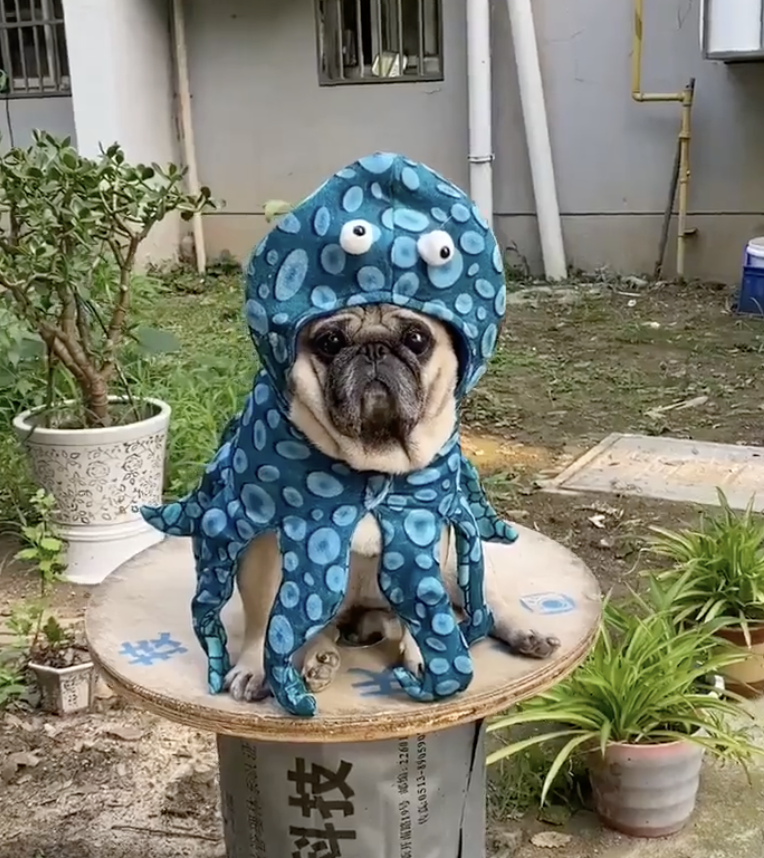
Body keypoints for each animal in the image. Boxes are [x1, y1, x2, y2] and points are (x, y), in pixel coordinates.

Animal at [224, 304, 560, 700]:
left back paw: (526, 633)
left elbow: (425, 606)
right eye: (330, 341)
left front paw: (428, 658)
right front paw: (253, 667)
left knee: (487, 605)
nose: (374, 349)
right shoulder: (261, 545)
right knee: (320, 627)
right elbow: (261, 615)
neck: (371, 465)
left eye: (416, 339)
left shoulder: (422, 533)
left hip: (457, 569)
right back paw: (322, 658)